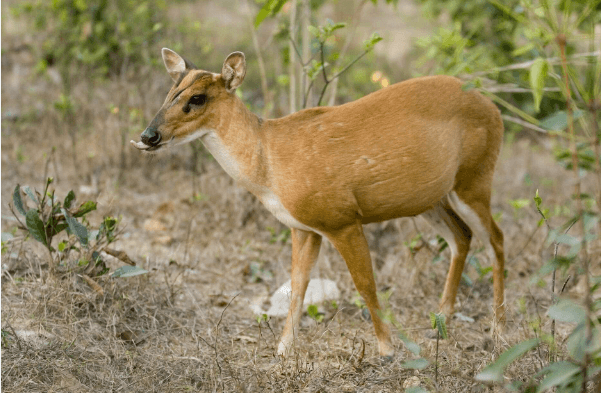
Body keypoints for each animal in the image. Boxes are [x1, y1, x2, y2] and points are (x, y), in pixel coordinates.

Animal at [132, 47, 506, 356]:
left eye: (197, 98)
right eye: (169, 93)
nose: (149, 136)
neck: (269, 163)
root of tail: (493, 107)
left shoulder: (342, 218)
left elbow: (365, 284)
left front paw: (387, 349)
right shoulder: (303, 227)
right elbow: (296, 287)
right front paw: (283, 350)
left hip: (475, 177)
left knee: (496, 239)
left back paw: (498, 329)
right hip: (433, 198)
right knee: (462, 237)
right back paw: (440, 320)